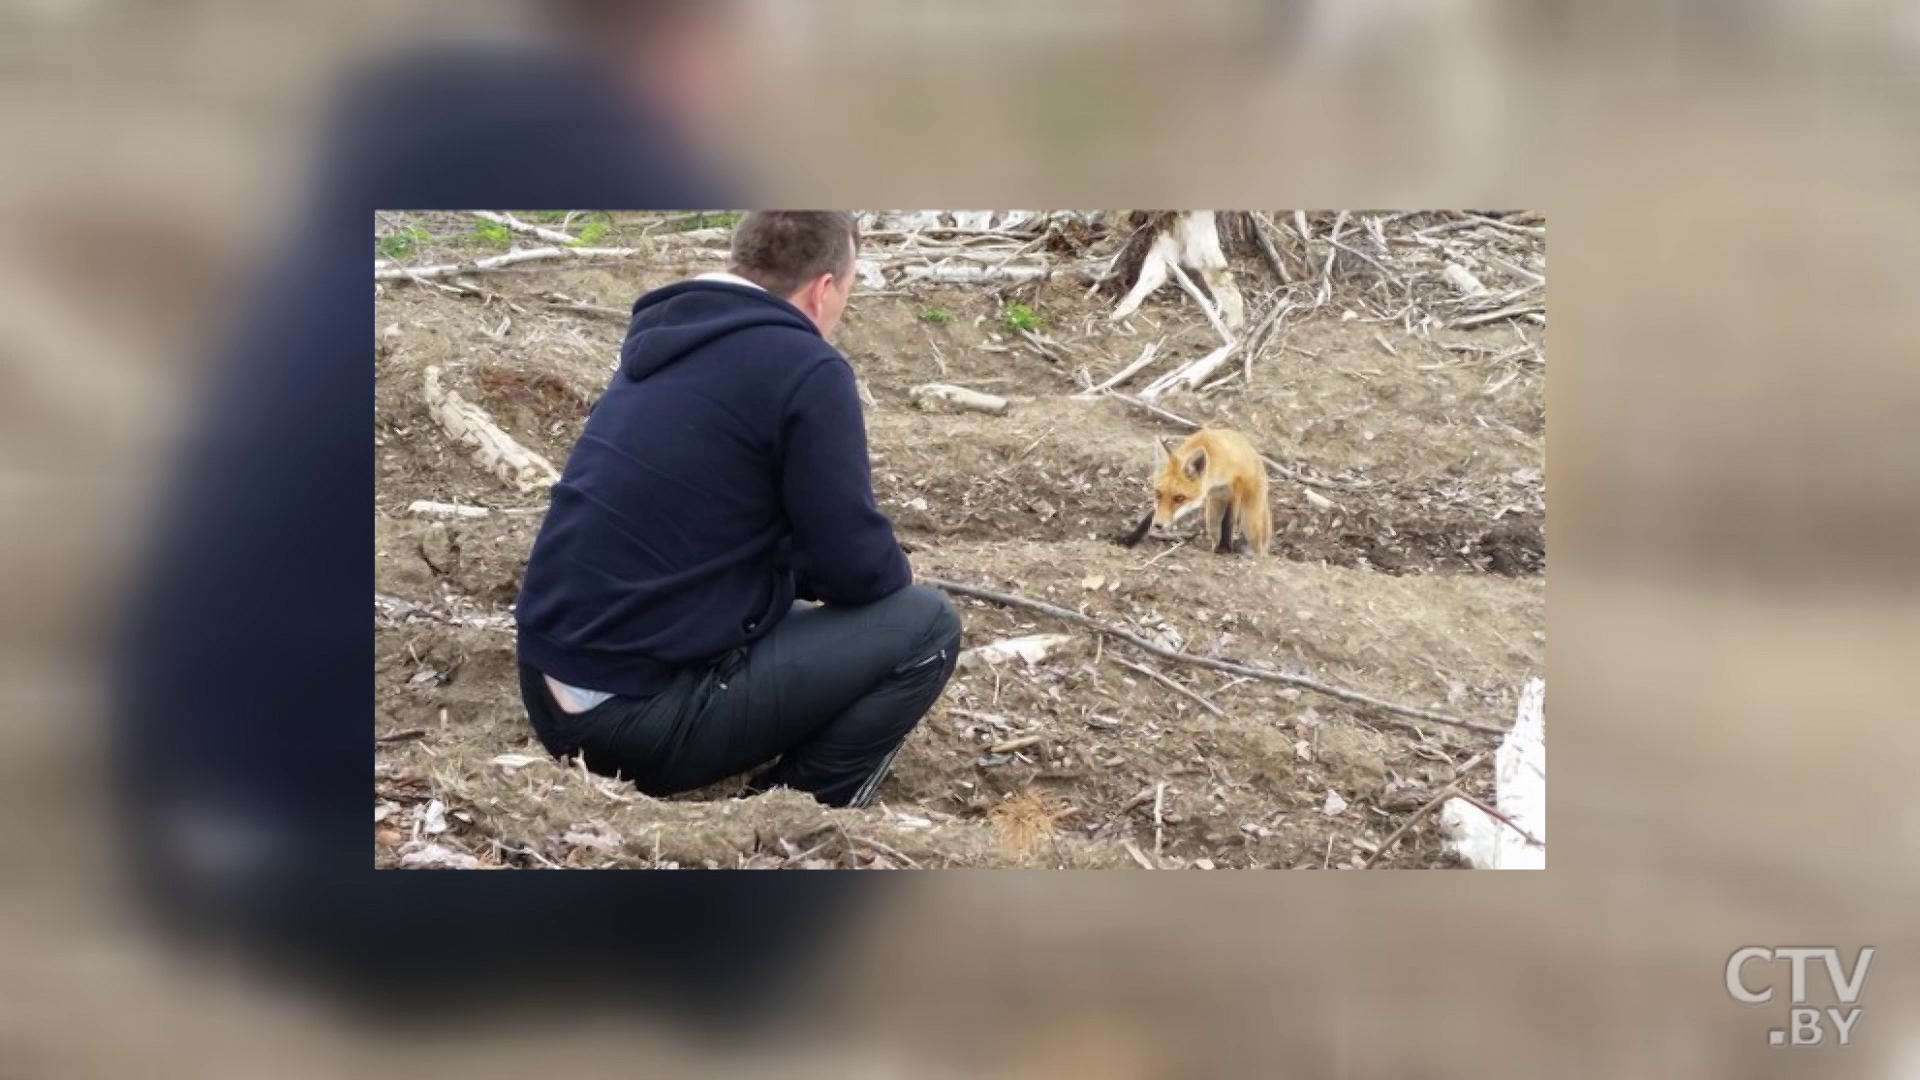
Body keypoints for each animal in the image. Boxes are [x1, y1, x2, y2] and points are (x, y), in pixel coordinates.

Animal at [1121, 426, 1267, 553]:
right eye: (1158, 493)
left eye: (1179, 498)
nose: (1158, 525)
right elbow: (1150, 516)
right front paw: (1129, 539)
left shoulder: (1236, 483)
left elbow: (1228, 522)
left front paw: (1225, 549)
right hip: (1212, 513)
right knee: (1214, 530)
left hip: (1250, 522)